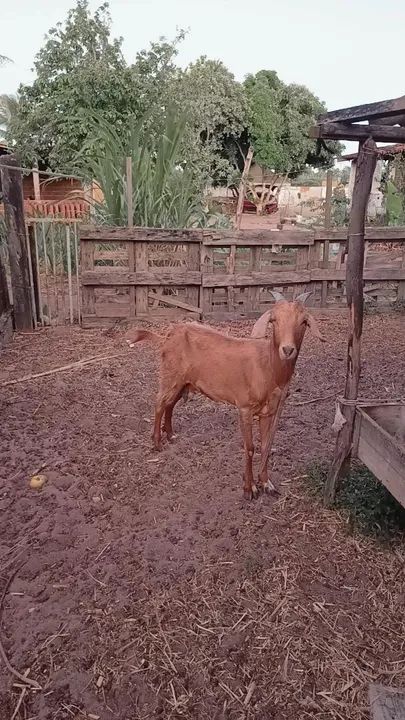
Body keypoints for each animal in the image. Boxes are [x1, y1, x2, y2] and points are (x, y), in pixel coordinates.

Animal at [125, 291, 324, 500]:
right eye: (274, 320)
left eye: (303, 322)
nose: (287, 350)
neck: (268, 367)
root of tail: (168, 335)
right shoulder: (244, 408)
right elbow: (250, 448)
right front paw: (249, 489)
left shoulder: (269, 412)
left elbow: (266, 445)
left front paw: (266, 483)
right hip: (170, 375)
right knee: (159, 402)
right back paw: (157, 442)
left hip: (184, 382)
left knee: (169, 404)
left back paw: (171, 435)